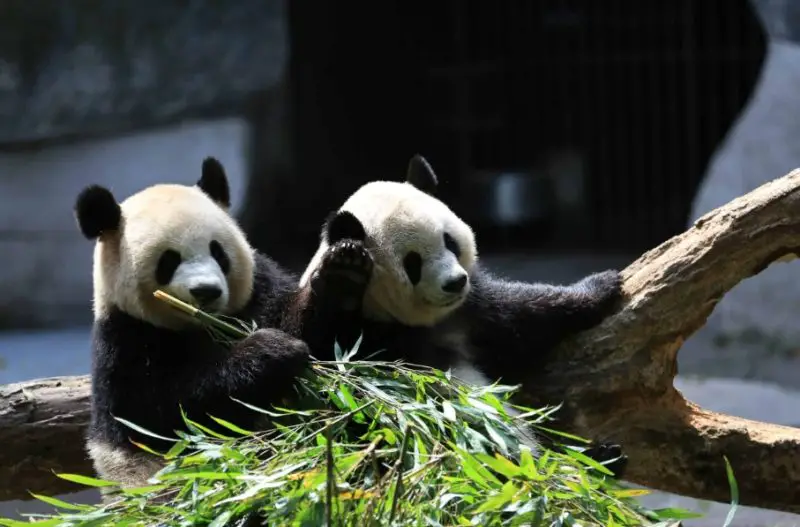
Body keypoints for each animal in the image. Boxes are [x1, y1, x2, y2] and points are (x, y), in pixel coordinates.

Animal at [74, 157, 359, 496]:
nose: (206, 291)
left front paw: (341, 271)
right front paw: (270, 350)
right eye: (168, 260)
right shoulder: (125, 341)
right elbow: (170, 411)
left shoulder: (258, 294)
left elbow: (315, 337)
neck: (204, 325)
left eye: (218, 252)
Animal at [299, 154, 627, 476]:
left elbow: (523, 317)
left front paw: (601, 285)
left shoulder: (470, 311)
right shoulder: (365, 338)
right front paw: (344, 273)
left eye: (450, 242)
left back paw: (602, 458)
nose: (455, 282)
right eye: (412, 263)